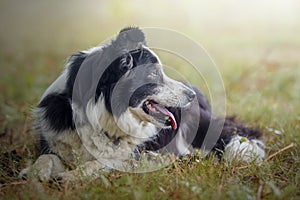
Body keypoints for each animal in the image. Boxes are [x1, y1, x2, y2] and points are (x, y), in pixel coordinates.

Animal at [19, 27, 266, 181]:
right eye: (154, 73)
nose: (190, 97)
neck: (100, 116)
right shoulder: (54, 141)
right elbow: (46, 157)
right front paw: (33, 173)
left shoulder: (135, 155)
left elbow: (102, 162)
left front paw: (69, 177)